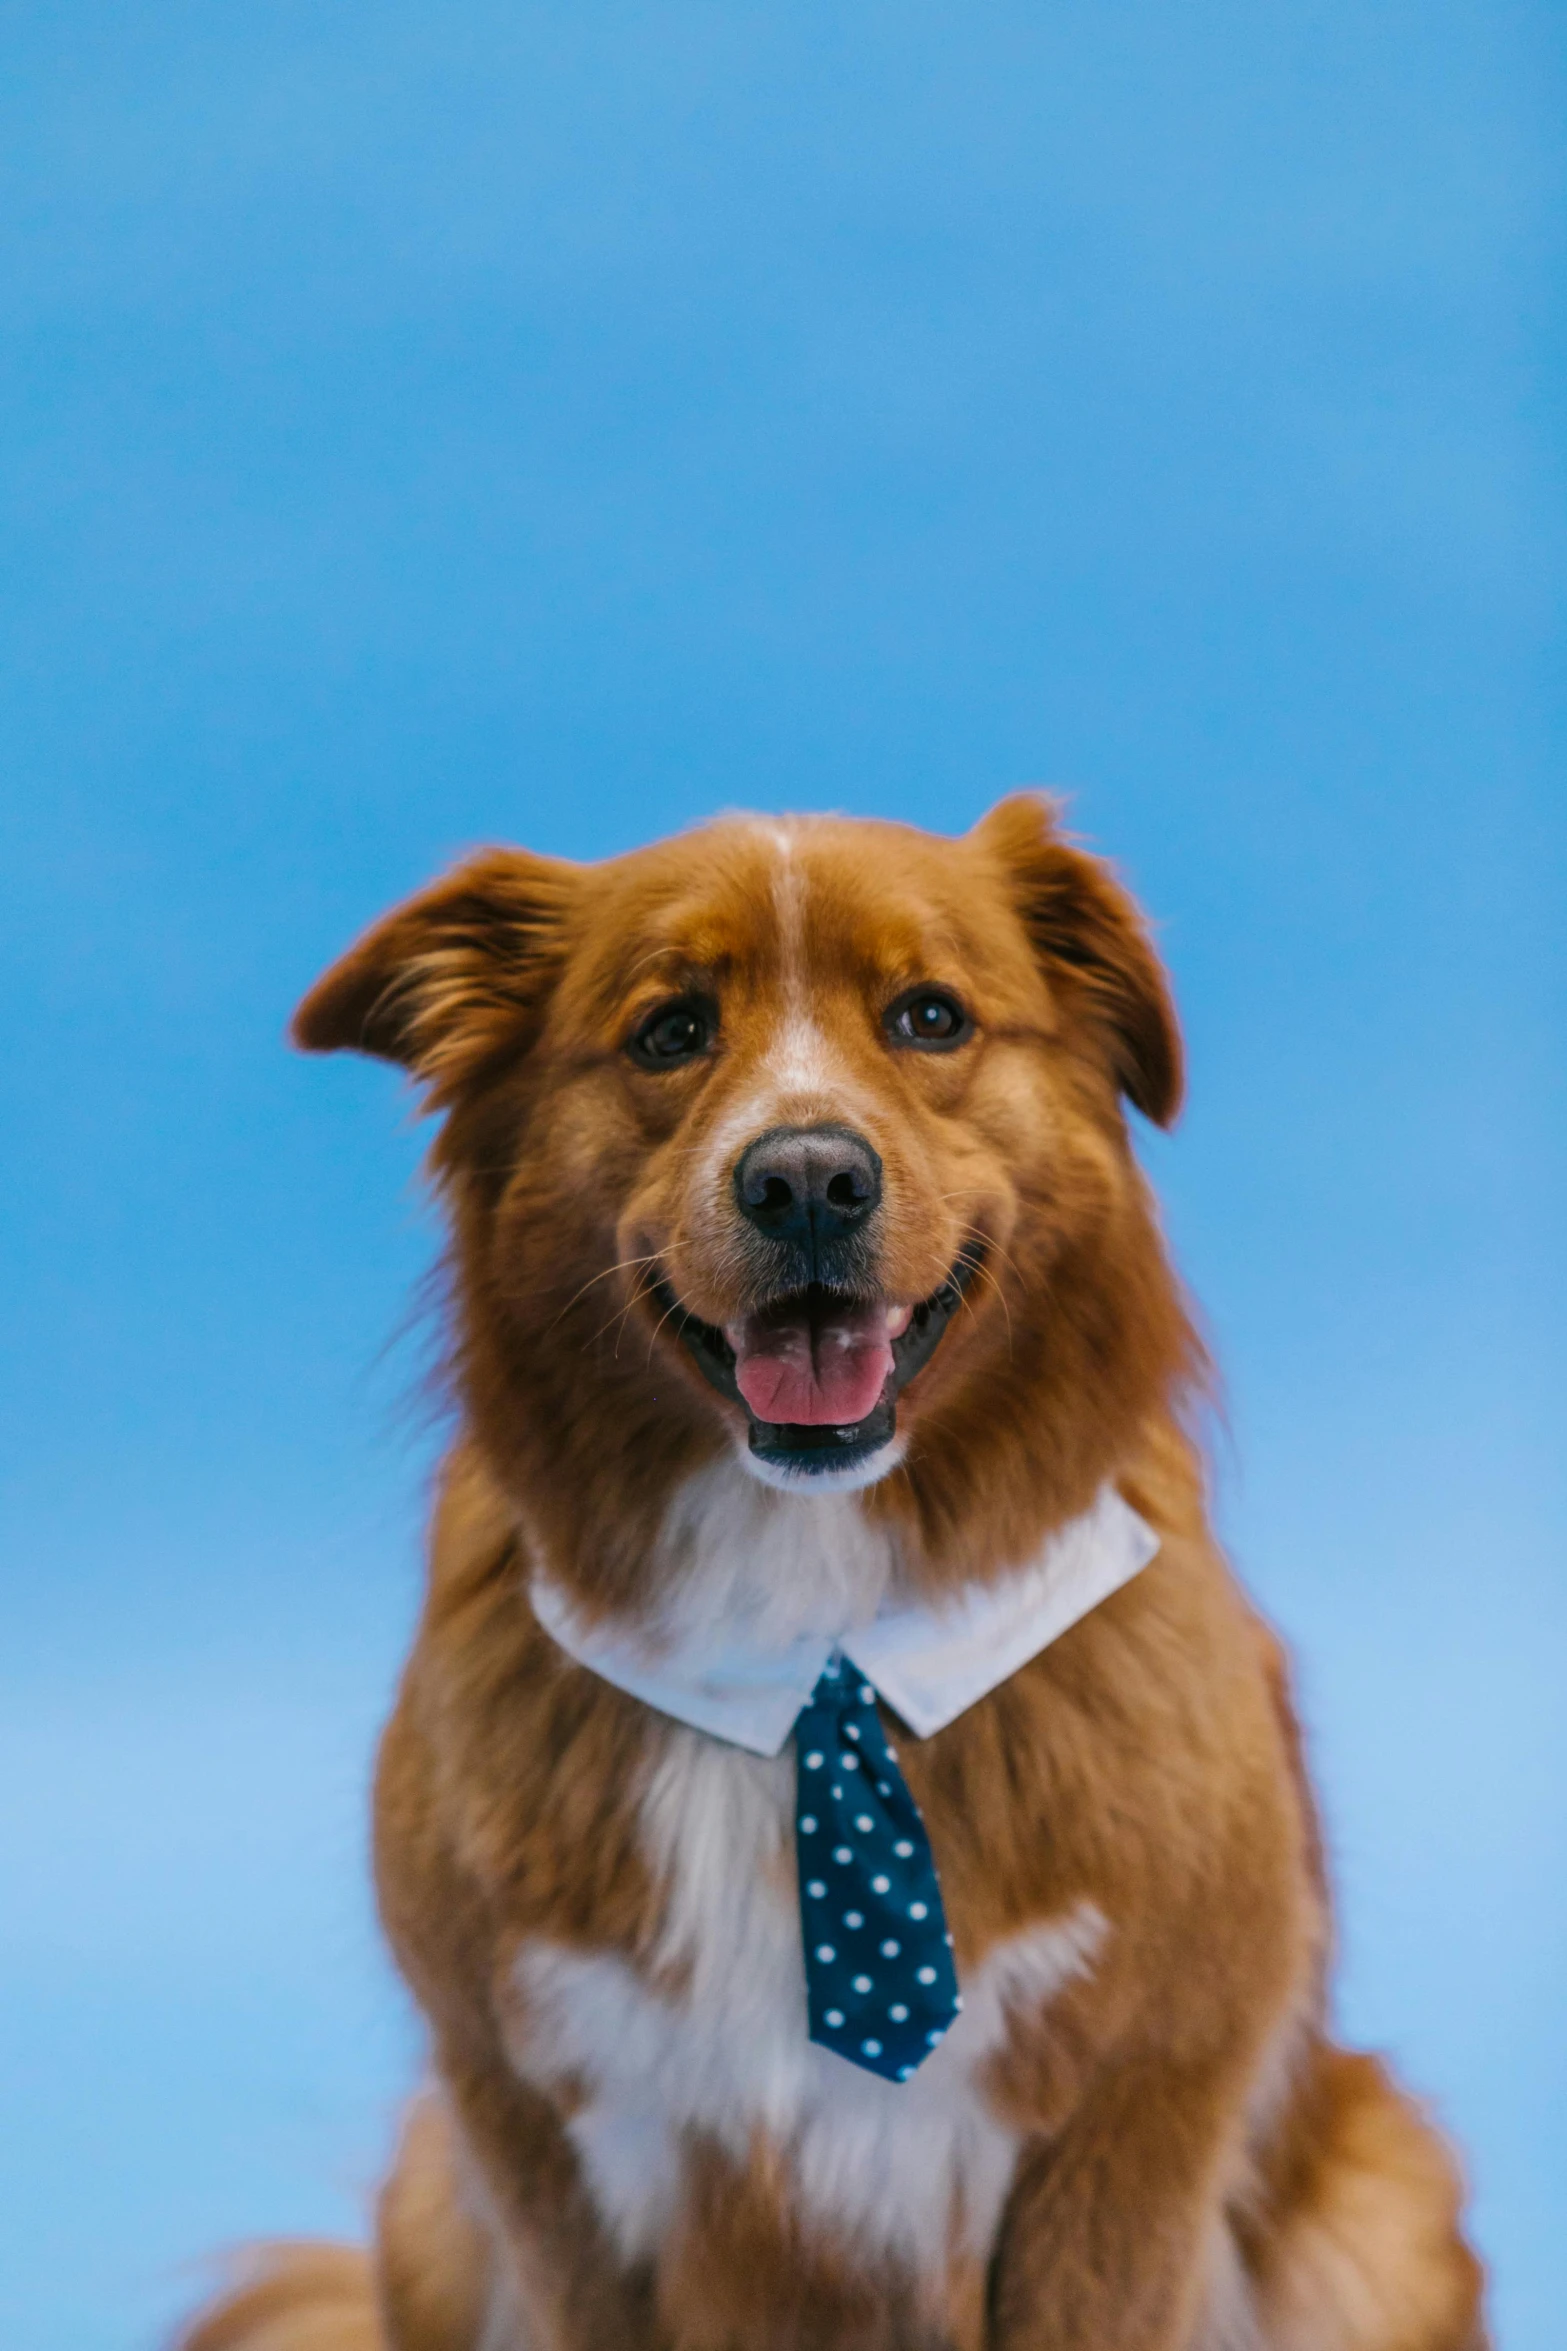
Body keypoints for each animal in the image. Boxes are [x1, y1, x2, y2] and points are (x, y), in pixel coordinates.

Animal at [177, 794, 1494, 2351]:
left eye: (929, 1015)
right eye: (669, 1029)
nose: (806, 1176)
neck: (813, 1628)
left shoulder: (1132, 2115)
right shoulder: (539, 2126)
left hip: (1379, 2205)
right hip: (435, 2201)